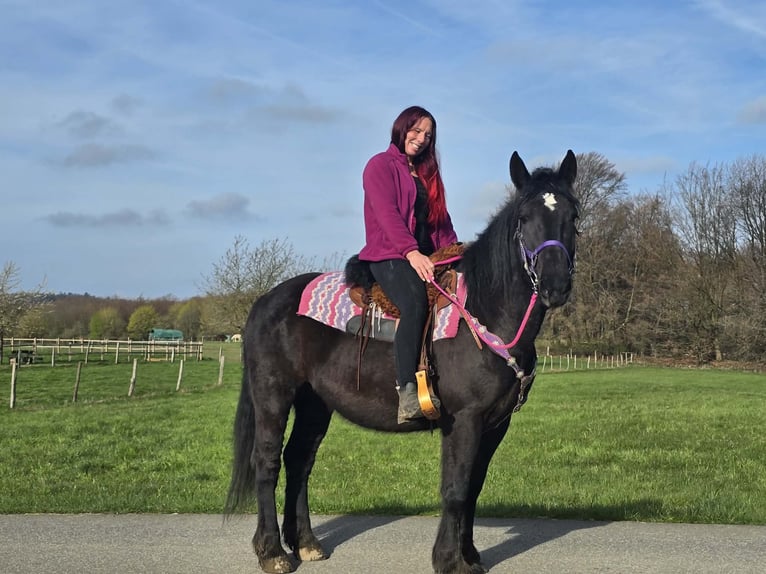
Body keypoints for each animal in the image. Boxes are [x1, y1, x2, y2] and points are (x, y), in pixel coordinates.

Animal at [225, 150, 580, 574]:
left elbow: (474, 488)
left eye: (573, 217)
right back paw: (273, 552)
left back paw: (306, 544)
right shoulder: (465, 420)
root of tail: (265, 301)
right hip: (273, 396)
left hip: (315, 403)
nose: (555, 285)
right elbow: (456, 488)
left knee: (300, 461)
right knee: (267, 463)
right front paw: (449, 560)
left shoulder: (496, 423)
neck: (485, 310)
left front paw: (470, 554)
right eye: (524, 218)